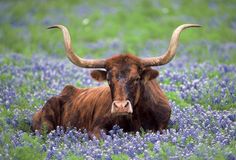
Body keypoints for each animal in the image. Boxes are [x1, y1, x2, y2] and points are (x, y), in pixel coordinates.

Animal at [31, 23, 201, 138]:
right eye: (108, 79)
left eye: (137, 78)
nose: (120, 107)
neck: (138, 116)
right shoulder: (96, 129)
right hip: (45, 126)